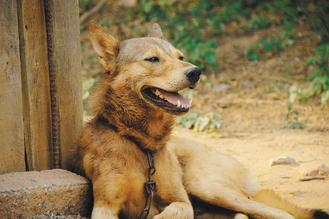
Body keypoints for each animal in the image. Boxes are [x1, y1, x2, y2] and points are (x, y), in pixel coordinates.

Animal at [77, 22, 328, 219]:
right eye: (152, 59)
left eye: (181, 57)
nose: (195, 72)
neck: (141, 142)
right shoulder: (104, 206)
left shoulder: (181, 201)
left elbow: (170, 212)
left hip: (206, 186)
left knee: (278, 213)